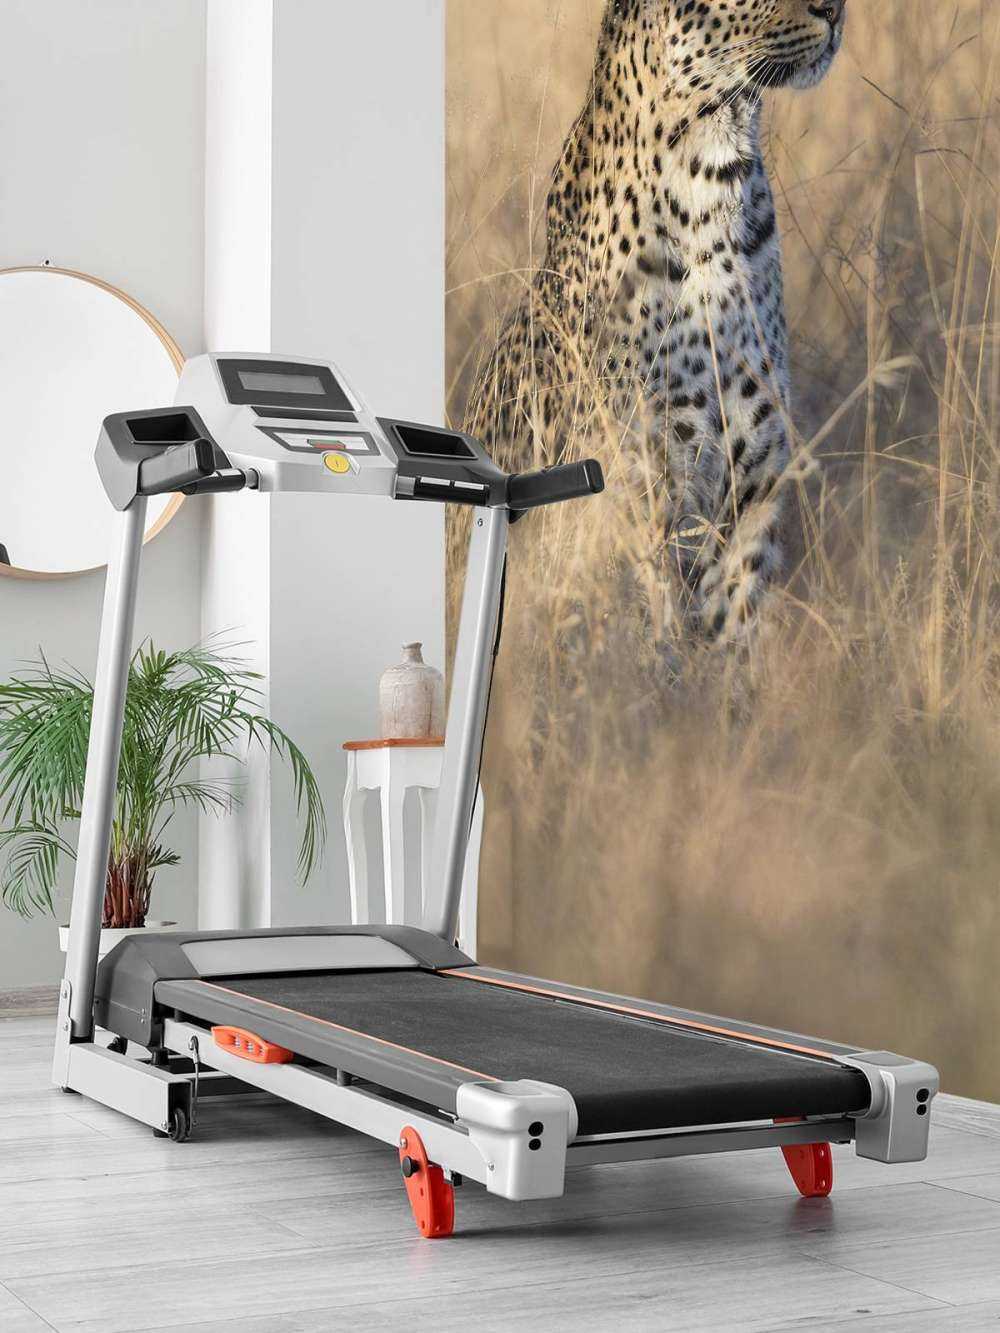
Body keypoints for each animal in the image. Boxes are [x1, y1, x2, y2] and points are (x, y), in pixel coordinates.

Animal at [465, 0, 846, 642]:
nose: (836, 10)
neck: (716, 177)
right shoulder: (642, 480)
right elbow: (651, 624)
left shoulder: (757, 476)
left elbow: (733, 625)